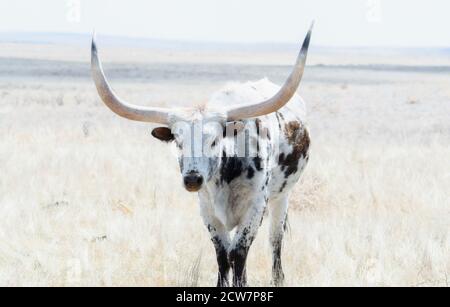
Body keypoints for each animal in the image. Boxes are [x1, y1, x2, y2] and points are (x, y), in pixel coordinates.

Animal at [91, 24, 312, 288]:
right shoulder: (207, 210)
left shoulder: (256, 206)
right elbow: (223, 254)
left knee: (275, 240)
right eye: (178, 142)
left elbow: (239, 252)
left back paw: (278, 278)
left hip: (282, 198)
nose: (192, 179)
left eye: (214, 140)